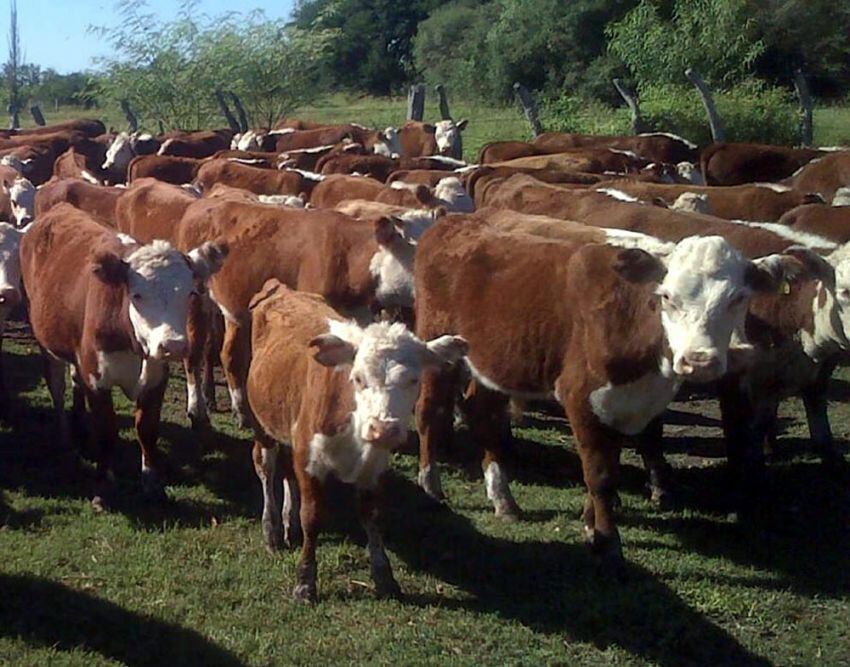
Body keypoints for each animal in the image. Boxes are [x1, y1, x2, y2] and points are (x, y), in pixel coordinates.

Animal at [22, 204, 227, 506]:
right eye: (137, 295)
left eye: (190, 293)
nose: (173, 345)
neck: (133, 345)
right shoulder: (97, 378)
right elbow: (107, 431)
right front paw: (104, 485)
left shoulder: (155, 378)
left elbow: (147, 429)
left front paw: (152, 482)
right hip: (46, 343)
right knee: (56, 387)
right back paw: (65, 436)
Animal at [245, 280, 468, 604]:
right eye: (359, 378)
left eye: (413, 380)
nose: (384, 429)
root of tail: (282, 288)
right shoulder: (309, 458)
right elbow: (312, 517)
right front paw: (305, 582)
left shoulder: (373, 467)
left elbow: (372, 517)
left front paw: (385, 577)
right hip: (262, 424)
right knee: (266, 466)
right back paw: (271, 529)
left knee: (286, 472)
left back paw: (287, 523)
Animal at [414, 217, 804, 572]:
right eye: (667, 297)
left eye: (738, 298)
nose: (699, 360)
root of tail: (453, 221)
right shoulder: (581, 396)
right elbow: (599, 474)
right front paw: (607, 542)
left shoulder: (621, 403)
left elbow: (608, 467)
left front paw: (591, 525)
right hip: (437, 343)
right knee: (429, 411)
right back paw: (431, 486)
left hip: (495, 362)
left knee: (485, 415)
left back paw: (502, 498)